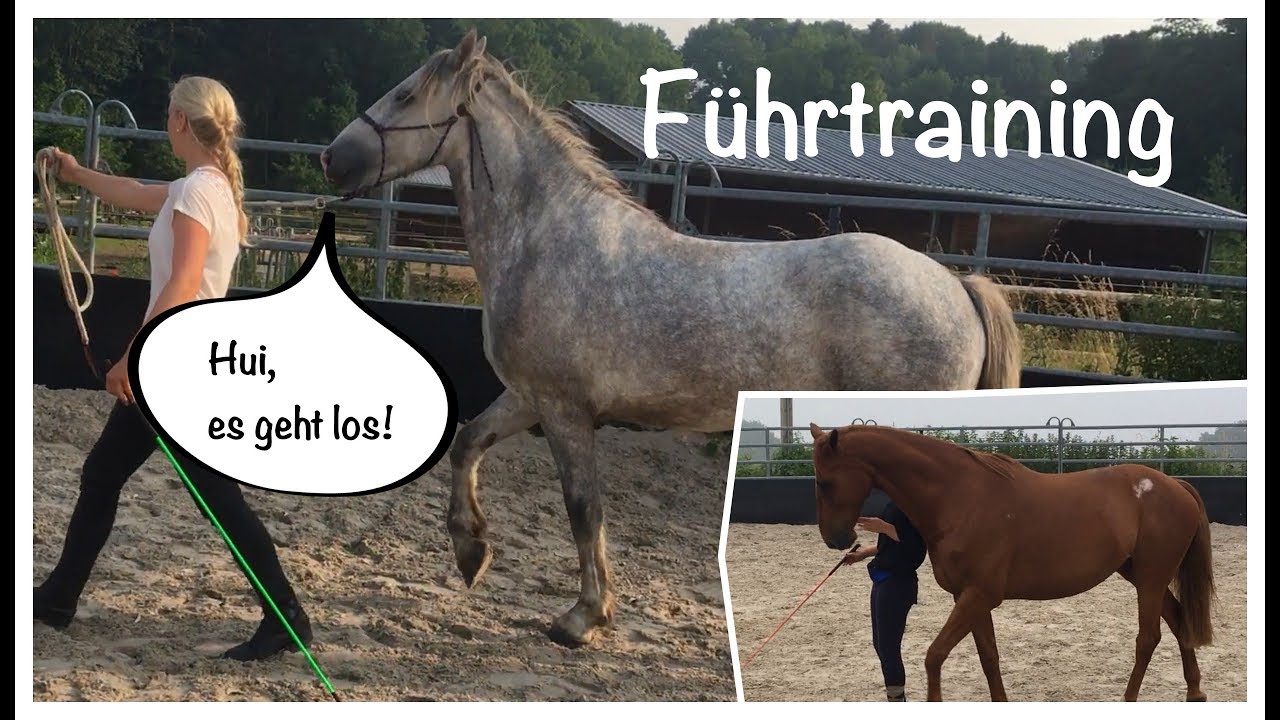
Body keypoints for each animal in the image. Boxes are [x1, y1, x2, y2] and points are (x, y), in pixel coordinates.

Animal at [318, 29, 1024, 648]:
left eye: (407, 94)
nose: (332, 157)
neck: (547, 240)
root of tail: (955, 285)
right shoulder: (529, 398)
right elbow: (468, 446)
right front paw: (472, 553)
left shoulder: (565, 411)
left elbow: (583, 507)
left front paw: (582, 619)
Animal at [806, 422, 1216, 701]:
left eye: (825, 482)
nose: (836, 539)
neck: (961, 497)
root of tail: (1175, 485)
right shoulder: (969, 597)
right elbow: (989, 656)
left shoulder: (979, 595)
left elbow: (934, 655)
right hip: (1143, 576)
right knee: (1178, 621)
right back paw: (1195, 692)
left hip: (1151, 578)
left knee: (1148, 638)